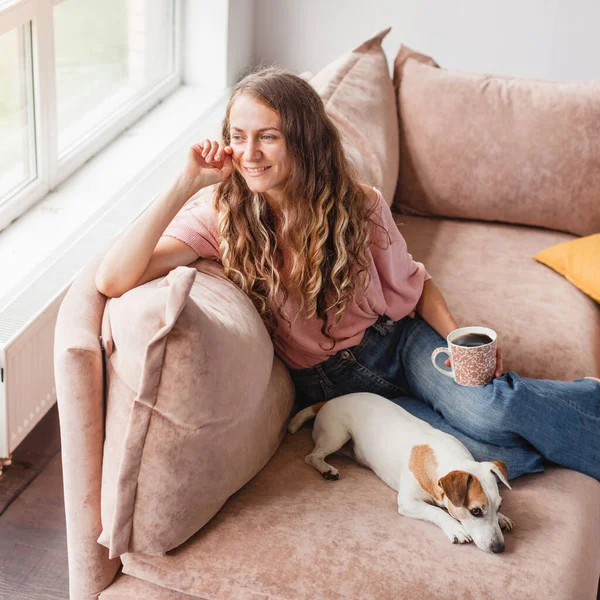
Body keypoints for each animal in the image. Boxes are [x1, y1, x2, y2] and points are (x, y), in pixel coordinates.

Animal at [288, 394, 512, 552]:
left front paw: (502, 518)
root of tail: (331, 399)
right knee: (312, 456)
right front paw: (455, 527)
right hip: (336, 434)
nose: (499, 548)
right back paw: (326, 469)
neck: (448, 459)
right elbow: (435, 511)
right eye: (475, 511)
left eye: (499, 505)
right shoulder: (408, 502)